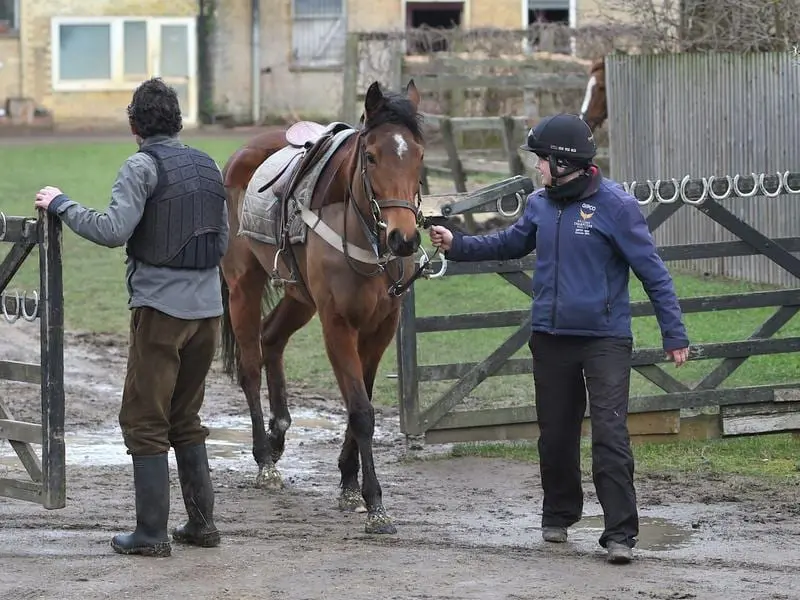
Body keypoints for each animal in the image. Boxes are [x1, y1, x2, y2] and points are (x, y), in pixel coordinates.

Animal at [216, 79, 428, 536]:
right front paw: (375, 504)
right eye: (371, 155)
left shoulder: (382, 327)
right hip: (243, 286)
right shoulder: (338, 326)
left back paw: (278, 434)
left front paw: (349, 483)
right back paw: (265, 461)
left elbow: (361, 400)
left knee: (271, 338)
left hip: (299, 297)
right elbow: (361, 410)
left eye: (419, 154)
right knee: (250, 365)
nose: (404, 238)